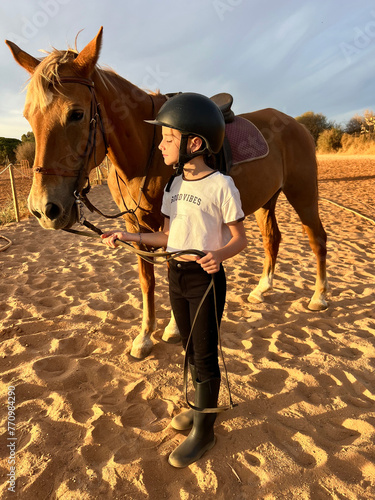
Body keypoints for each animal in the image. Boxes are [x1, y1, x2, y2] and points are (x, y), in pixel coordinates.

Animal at [6, 27, 328, 360]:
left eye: (77, 114)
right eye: (28, 116)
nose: (44, 209)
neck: (147, 151)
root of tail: (295, 124)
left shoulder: (170, 220)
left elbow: (175, 261)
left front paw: (172, 328)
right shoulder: (135, 224)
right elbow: (147, 280)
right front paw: (145, 336)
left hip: (303, 194)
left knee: (317, 238)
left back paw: (318, 297)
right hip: (267, 200)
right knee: (271, 239)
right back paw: (262, 289)